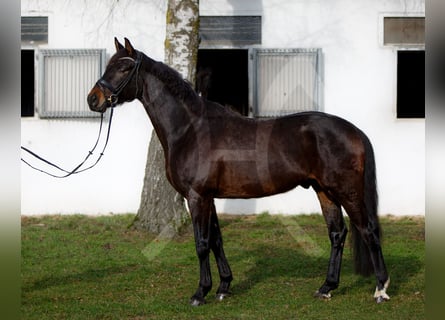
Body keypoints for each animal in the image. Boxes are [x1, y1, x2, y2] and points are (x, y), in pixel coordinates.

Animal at [86, 37, 388, 304]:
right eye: (109, 65)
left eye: (124, 68)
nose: (93, 99)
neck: (190, 129)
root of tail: (353, 130)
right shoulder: (208, 197)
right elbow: (217, 240)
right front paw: (223, 287)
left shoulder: (196, 196)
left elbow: (201, 243)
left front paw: (200, 293)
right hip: (324, 191)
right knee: (337, 234)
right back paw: (327, 287)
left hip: (346, 191)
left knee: (369, 230)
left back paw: (381, 289)